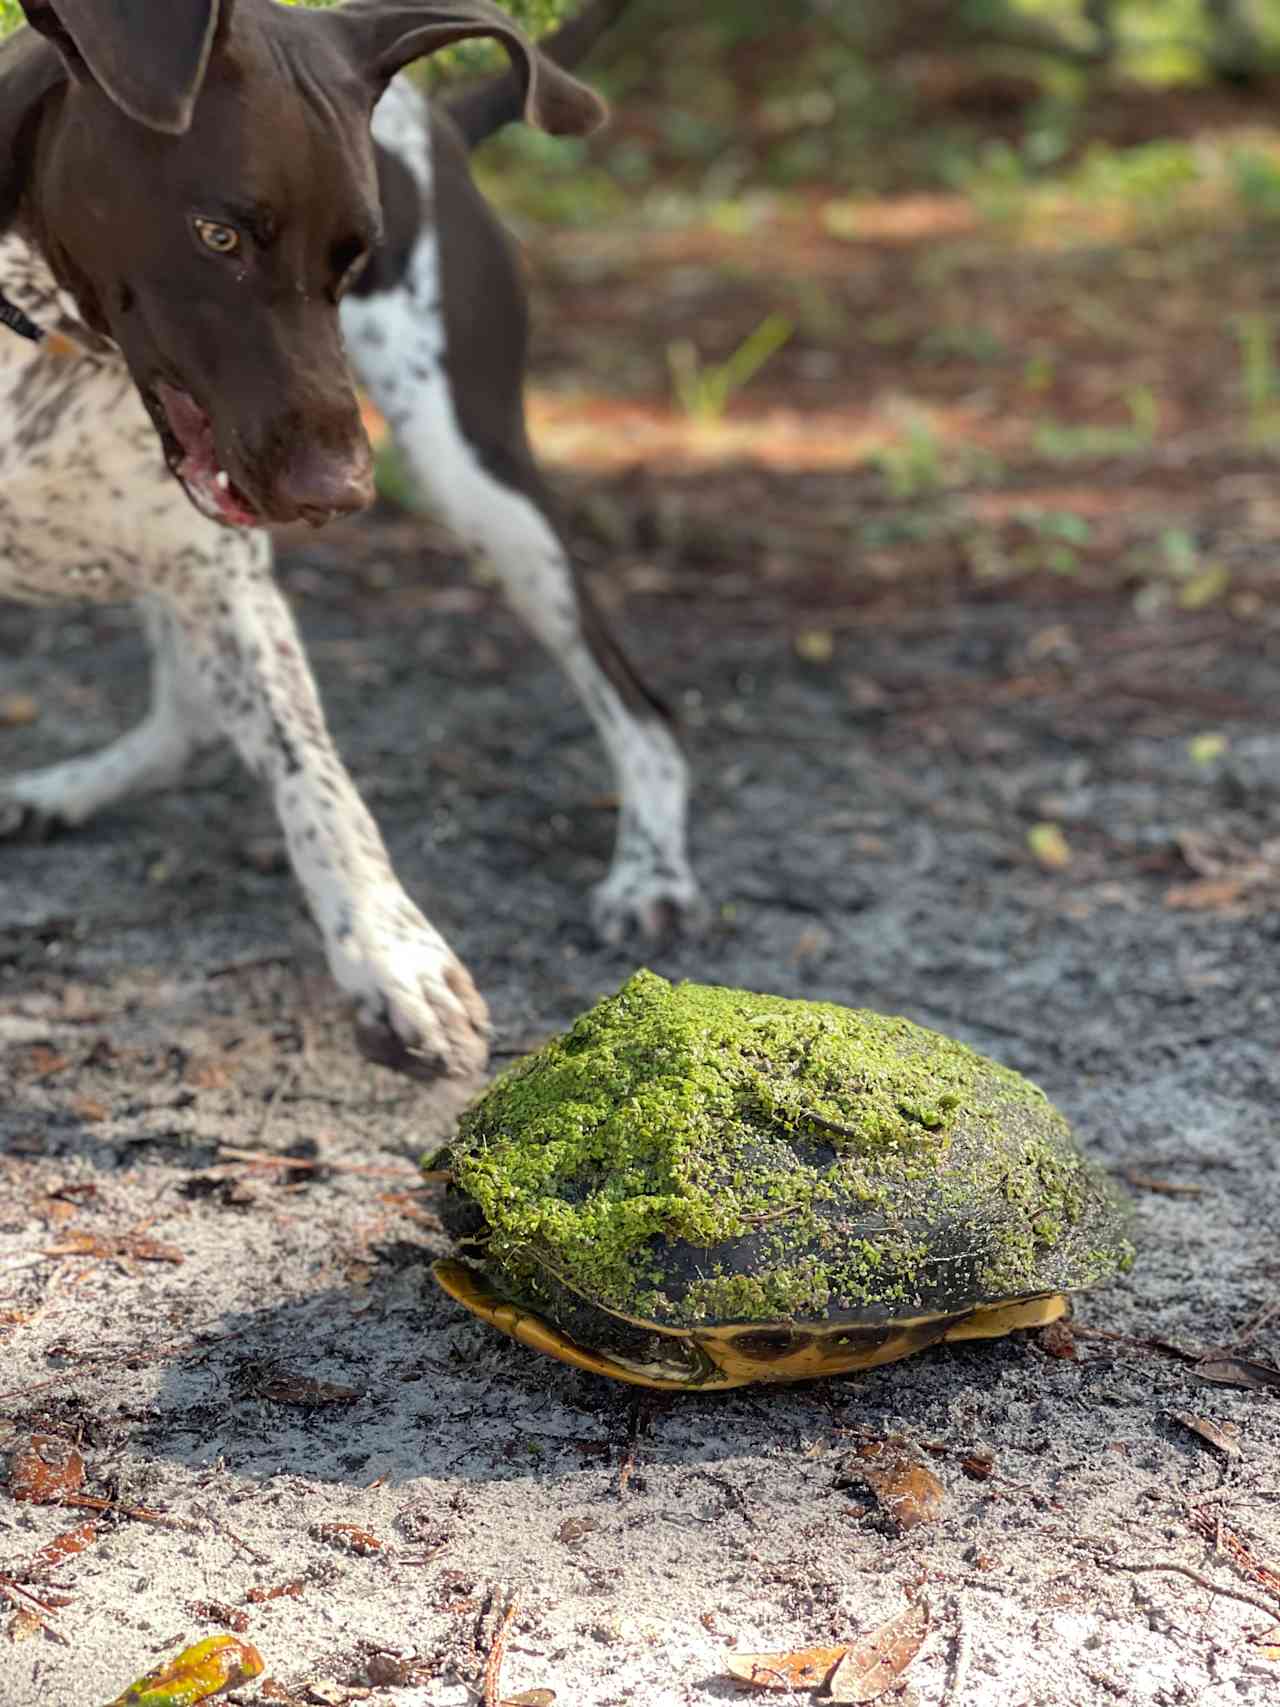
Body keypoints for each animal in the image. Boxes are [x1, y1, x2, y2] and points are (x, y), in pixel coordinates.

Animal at [0, 3, 706, 1078]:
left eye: (357, 258)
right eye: (217, 233)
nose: (342, 495)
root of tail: (444, 117)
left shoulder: (230, 584)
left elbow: (318, 781)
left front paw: (392, 957)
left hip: (481, 485)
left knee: (639, 707)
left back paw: (649, 873)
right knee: (188, 710)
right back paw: (73, 788)